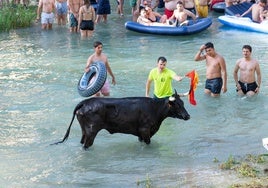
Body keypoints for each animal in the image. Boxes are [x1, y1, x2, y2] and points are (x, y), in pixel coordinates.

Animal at [52, 90, 191, 149]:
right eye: (177, 105)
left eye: (183, 103)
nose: (187, 116)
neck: (154, 108)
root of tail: (85, 102)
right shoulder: (145, 130)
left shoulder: (140, 133)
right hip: (91, 131)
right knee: (87, 145)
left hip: (84, 130)